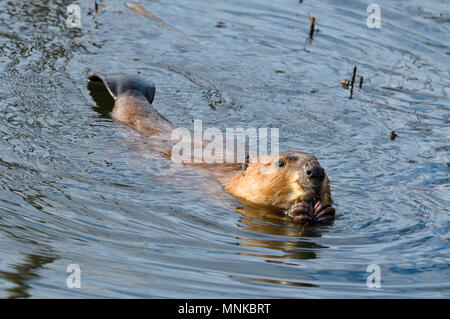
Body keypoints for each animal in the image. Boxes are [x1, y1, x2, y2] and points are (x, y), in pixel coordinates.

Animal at [87, 74, 334, 225]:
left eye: (319, 161)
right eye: (281, 162)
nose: (315, 172)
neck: (230, 177)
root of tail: (128, 90)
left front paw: (324, 211)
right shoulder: (225, 196)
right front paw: (298, 212)